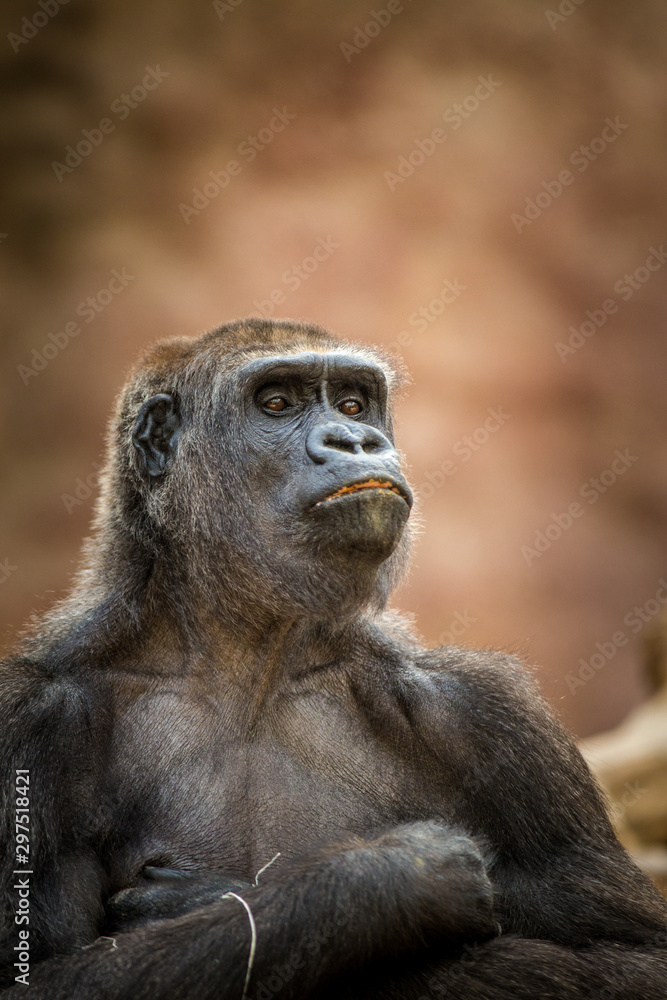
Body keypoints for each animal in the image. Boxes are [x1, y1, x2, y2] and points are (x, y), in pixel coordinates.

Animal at [0, 316, 666, 999]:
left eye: (352, 405)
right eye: (276, 404)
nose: (356, 439)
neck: (248, 654)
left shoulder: (487, 711)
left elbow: (635, 958)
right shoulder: (32, 718)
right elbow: (43, 974)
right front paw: (396, 879)